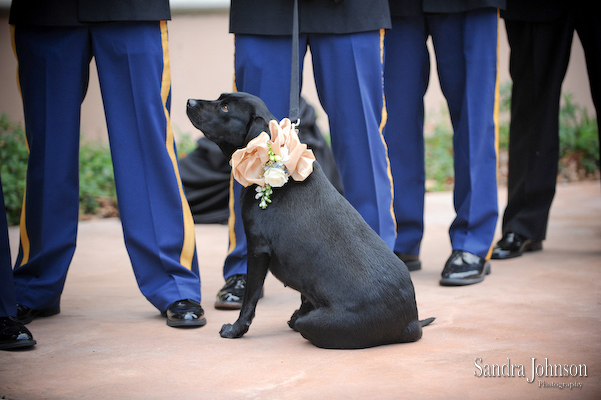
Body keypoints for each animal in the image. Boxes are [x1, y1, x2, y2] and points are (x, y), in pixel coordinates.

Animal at [186, 92, 432, 348]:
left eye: (225, 107)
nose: (189, 102)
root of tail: (410, 323)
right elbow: (305, 294)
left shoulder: (257, 251)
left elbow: (249, 301)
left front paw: (235, 330)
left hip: (317, 323)